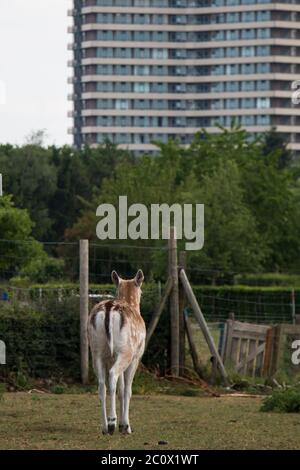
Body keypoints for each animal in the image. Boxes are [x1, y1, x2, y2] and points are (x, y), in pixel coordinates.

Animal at [87, 270, 146, 436]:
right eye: (141, 290)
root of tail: (109, 308)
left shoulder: (112, 358)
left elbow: (121, 389)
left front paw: (122, 425)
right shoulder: (136, 357)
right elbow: (127, 390)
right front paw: (126, 426)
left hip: (96, 351)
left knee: (101, 384)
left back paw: (104, 427)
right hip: (125, 351)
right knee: (112, 375)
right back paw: (112, 423)